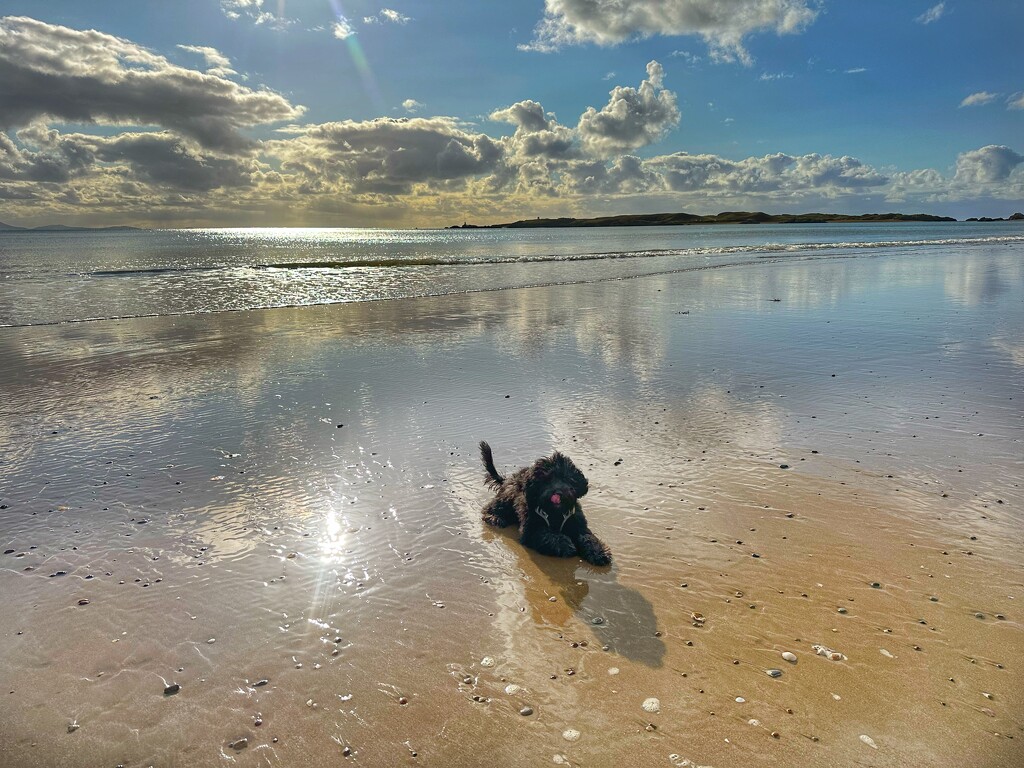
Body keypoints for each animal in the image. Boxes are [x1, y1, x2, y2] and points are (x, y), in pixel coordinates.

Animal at [477, 442, 610, 569]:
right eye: (546, 480)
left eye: (566, 478)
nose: (558, 492)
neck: (556, 513)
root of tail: (508, 480)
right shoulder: (530, 530)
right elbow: (547, 535)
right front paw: (565, 544)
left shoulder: (579, 525)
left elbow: (588, 538)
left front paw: (599, 552)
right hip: (507, 497)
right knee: (490, 508)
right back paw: (494, 518)